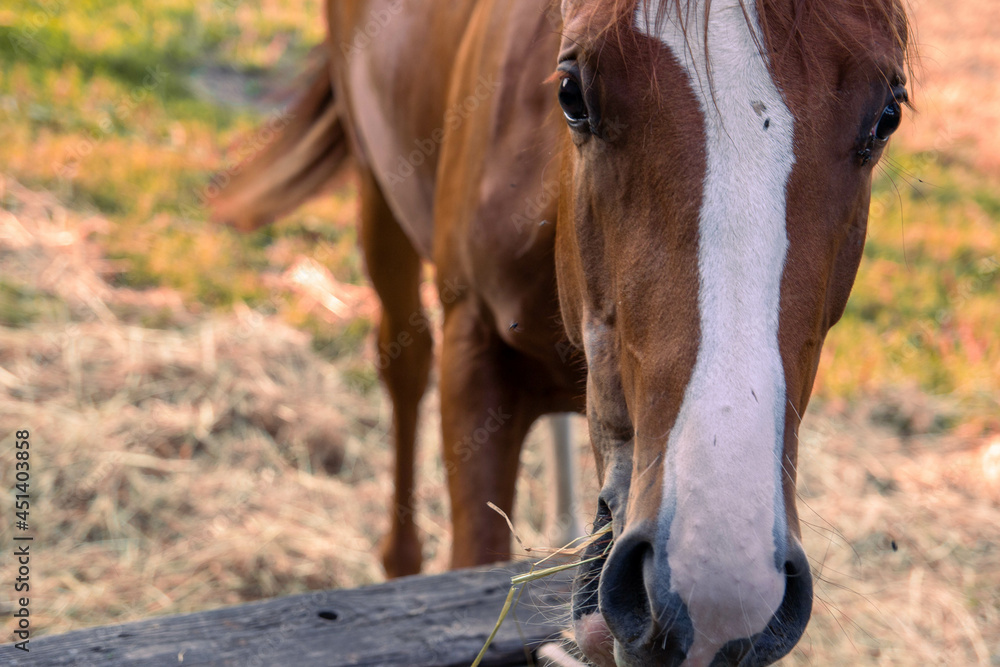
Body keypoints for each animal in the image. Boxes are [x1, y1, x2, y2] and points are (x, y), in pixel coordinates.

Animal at [213, 1, 911, 664]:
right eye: (572, 93)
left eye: (886, 117)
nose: (715, 590)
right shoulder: (476, 358)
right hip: (377, 189)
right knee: (403, 369)